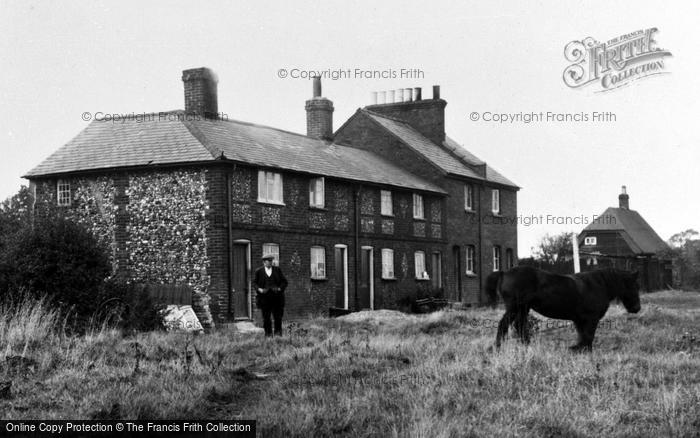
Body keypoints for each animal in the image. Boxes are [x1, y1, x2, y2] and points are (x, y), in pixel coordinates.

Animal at [486, 266, 640, 350]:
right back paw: (497, 347)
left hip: (523, 309)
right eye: (634, 285)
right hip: (514, 308)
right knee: (504, 325)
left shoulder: (579, 320)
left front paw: (579, 349)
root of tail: (504, 272)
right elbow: (588, 336)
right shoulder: (591, 318)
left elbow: (583, 336)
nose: (637, 308)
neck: (598, 285)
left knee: (520, 327)